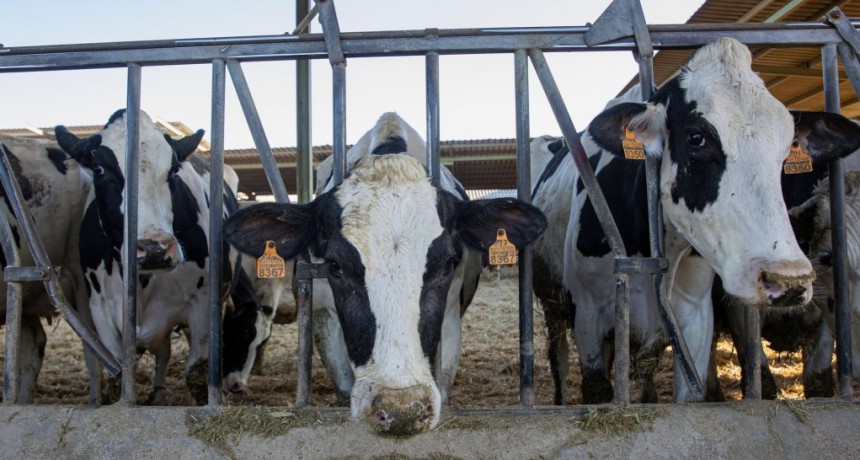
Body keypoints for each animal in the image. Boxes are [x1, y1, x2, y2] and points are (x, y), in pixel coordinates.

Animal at [54, 109, 239, 404]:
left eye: (173, 170)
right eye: (99, 169)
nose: (155, 249)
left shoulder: (202, 303)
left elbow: (197, 376)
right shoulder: (100, 308)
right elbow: (117, 378)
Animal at [532, 37, 860, 404]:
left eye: (788, 145)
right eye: (696, 138)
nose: (788, 279)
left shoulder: (697, 319)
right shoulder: (589, 319)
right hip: (554, 306)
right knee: (559, 360)